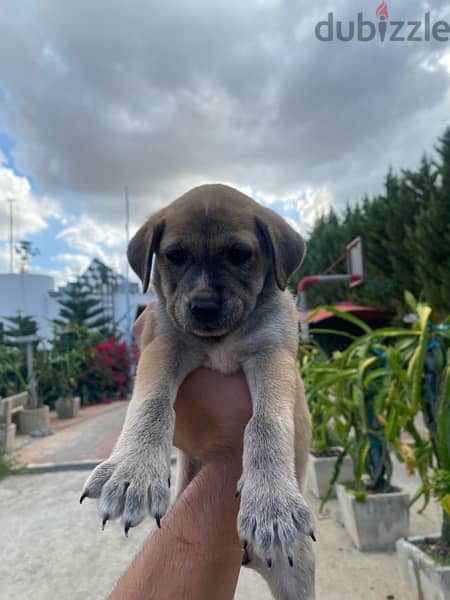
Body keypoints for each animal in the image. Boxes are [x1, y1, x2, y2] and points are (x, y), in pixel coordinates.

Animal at [81, 184, 312, 600]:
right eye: (175, 256)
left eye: (239, 255)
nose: (203, 307)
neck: (219, 340)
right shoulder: (164, 344)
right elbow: (152, 403)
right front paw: (134, 470)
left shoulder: (273, 356)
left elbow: (265, 422)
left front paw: (270, 499)